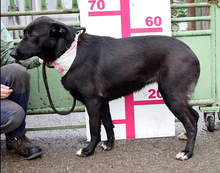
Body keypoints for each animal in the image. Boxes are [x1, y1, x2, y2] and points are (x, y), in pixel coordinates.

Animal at [10, 16, 200, 161]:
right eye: (24, 34)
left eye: (32, 35)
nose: (12, 54)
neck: (70, 52)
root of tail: (192, 53)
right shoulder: (102, 102)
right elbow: (108, 124)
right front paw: (109, 144)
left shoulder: (92, 102)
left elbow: (95, 129)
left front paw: (88, 150)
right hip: (176, 96)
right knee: (195, 115)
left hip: (171, 95)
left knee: (191, 123)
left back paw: (187, 152)